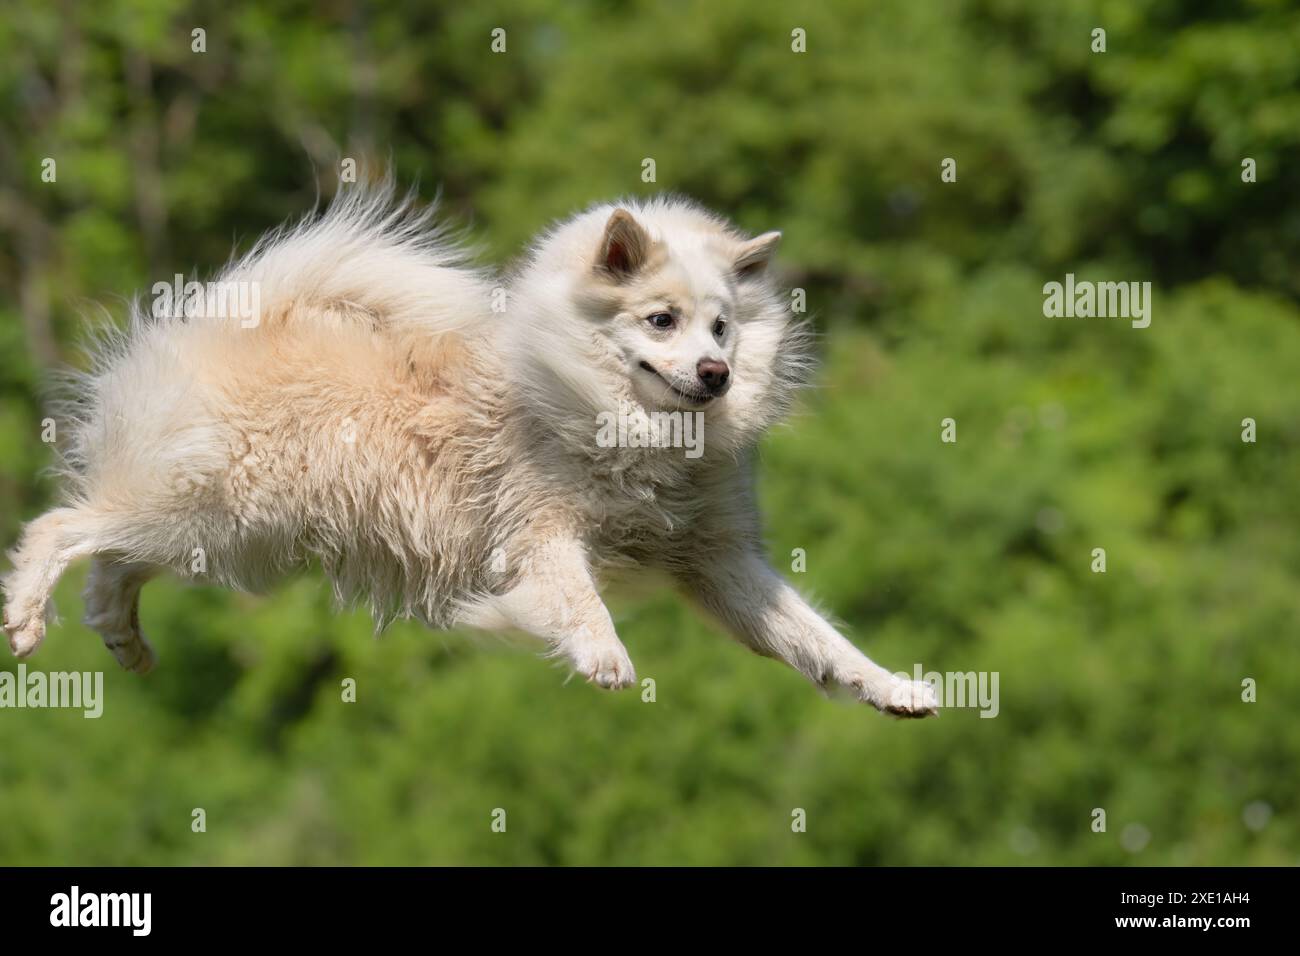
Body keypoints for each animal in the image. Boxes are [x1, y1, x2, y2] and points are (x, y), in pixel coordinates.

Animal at [0, 184, 935, 717]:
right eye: (661, 320)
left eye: (724, 327)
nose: (715, 374)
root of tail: (226, 314)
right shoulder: (541, 538)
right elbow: (582, 602)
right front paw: (606, 658)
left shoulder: (719, 560)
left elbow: (819, 640)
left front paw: (891, 688)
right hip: (209, 511)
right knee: (61, 526)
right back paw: (27, 618)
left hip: (220, 533)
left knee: (111, 563)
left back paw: (124, 641)